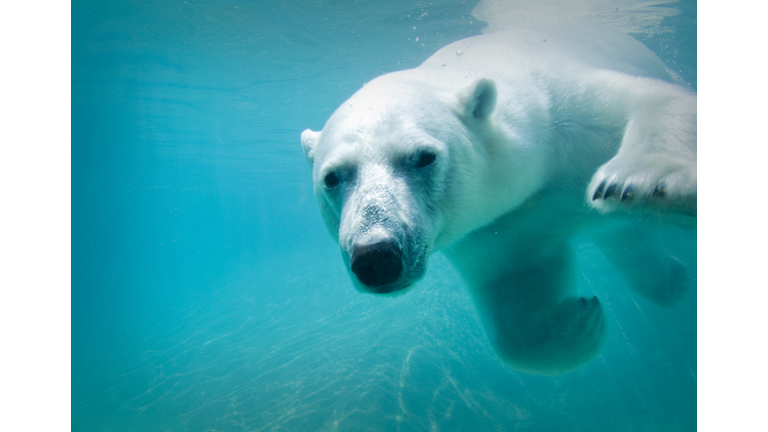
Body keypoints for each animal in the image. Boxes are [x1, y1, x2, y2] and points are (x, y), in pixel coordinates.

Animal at [300, 24, 696, 374]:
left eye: (424, 157)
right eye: (332, 177)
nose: (376, 256)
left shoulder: (569, 113)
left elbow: (653, 100)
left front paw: (640, 180)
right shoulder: (501, 227)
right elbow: (516, 298)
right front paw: (580, 319)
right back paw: (674, 281)